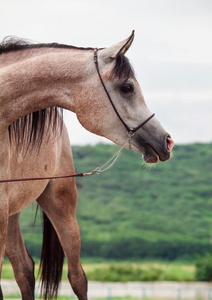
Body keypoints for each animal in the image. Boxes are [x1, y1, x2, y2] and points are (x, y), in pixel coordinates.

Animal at [0, 31, 174, 300]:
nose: (167, 141)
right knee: (24, 270)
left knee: (76, 277)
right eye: (127, 87)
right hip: (13, 211)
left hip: (60, 204)